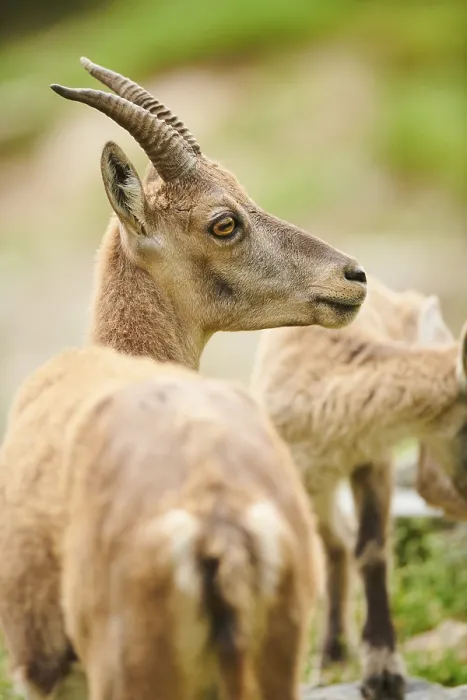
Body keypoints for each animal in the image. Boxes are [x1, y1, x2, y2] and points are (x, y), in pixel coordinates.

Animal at [251, 276, 467, 700]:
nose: (459, 499)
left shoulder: (373, 457)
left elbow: (371, 550)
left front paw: (384, 672)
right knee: (333, 543)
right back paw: (330, 658)